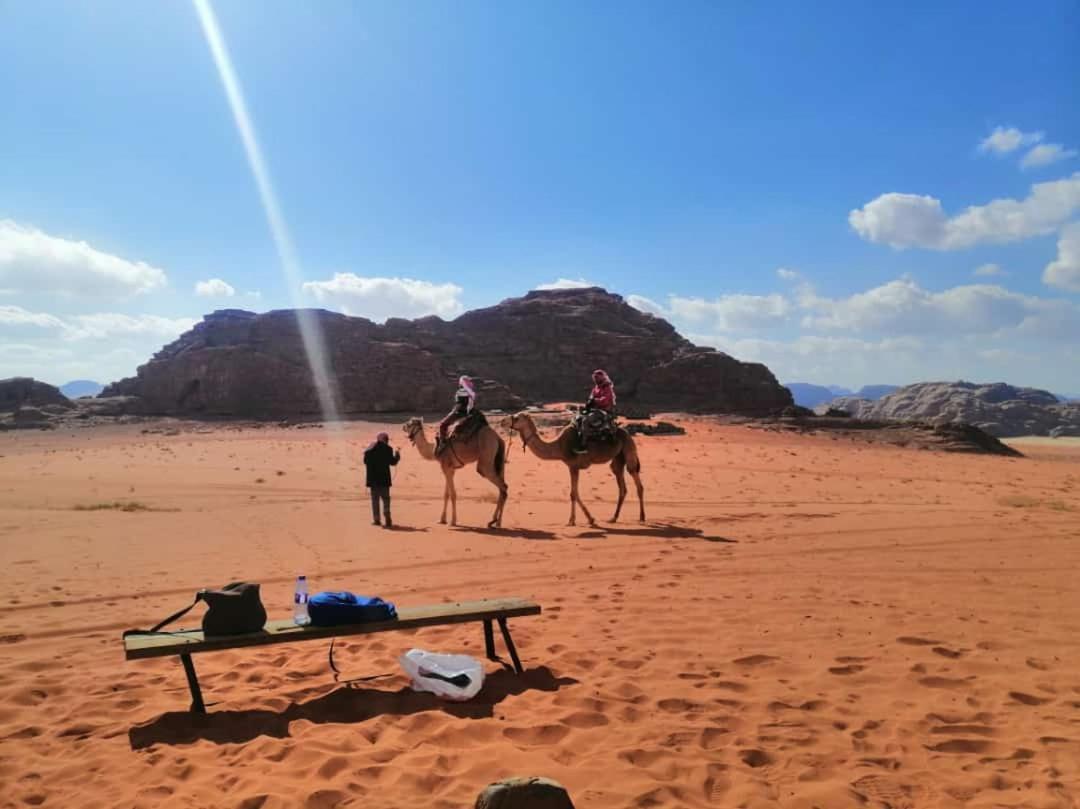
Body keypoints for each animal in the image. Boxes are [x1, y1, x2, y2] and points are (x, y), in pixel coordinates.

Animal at [501, 412, 643, 527]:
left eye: (517, 418)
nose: (503, 421)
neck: (558, 447)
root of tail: (626, 432)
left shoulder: (574, 466)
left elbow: (573, 494)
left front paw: (571, 521)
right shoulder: (571, 467)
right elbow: (575, 493)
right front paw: (590, 519)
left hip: (628, 448)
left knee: (635, 478)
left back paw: (642, 517)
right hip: (618, 458)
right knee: (621, 484)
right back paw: (613, 518)